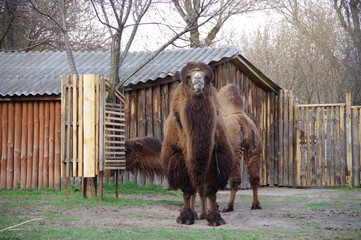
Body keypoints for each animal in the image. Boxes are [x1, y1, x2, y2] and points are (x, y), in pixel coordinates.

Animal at [160, 62, 233, 227]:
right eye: (187, 78)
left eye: (207, 78)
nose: (198, 80)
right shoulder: (178, 158)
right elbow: (188, 190)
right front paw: (185, 217)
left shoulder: (217, 156)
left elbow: (210, 190)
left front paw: (215, 218)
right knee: (195, 189)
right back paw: (194, 213)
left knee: (201, 189)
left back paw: (203, 214)